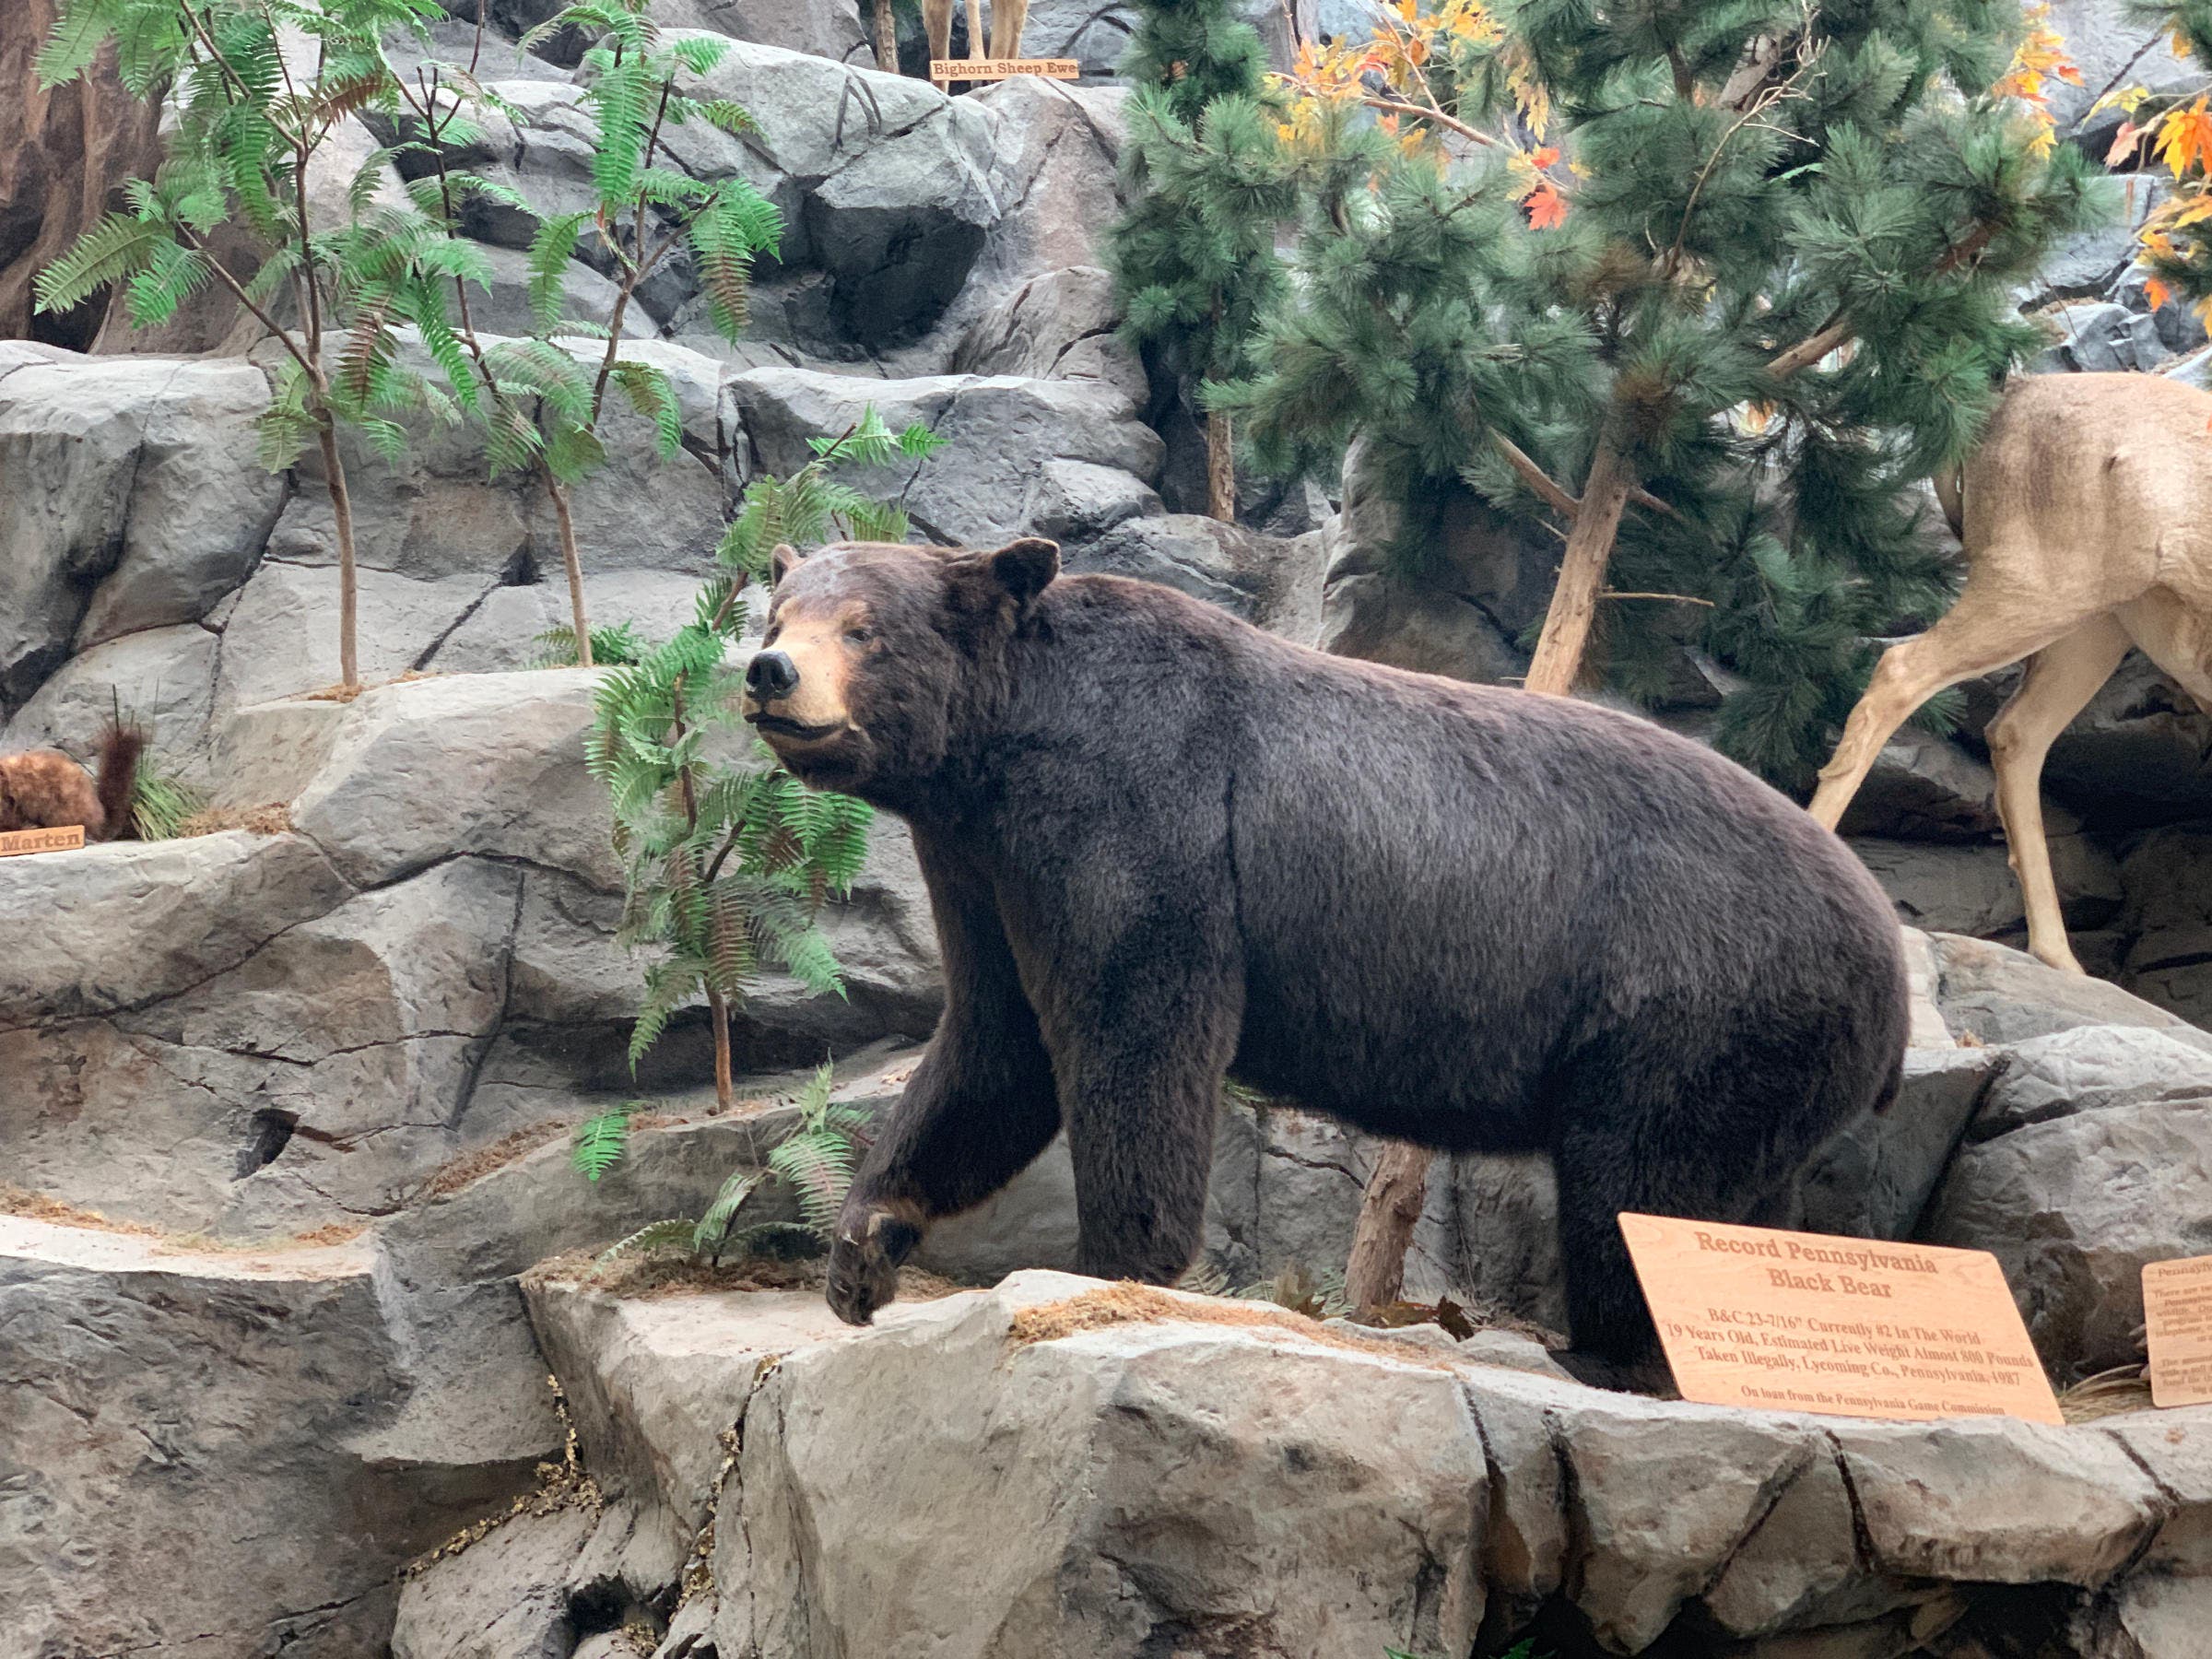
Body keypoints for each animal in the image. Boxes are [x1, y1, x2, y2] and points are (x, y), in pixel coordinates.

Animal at [742, 536, 1909, 1366]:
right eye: (780, 607)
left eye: (862, 628)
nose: (768, 671)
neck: (1006, 747)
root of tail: (1893, 967)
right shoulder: (984, 866)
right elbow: (995, 1043)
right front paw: (862, 1251)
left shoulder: (1141, 810)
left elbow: (1137, 1026)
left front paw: (1112, 1265)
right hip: (1758, 1064)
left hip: (1695, 1005)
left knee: (1640, 1188)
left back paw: (1613, 1352)